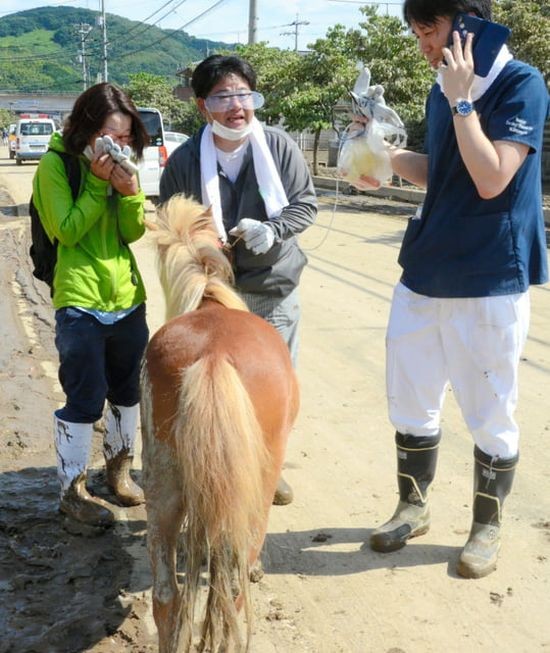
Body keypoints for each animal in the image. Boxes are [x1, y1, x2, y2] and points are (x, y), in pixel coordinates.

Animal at [140, 196, 300, 648]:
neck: (212, 301)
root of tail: (212, 355)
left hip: (162, 481)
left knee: (165, 593)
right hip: (253, 493)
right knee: (230, 590)